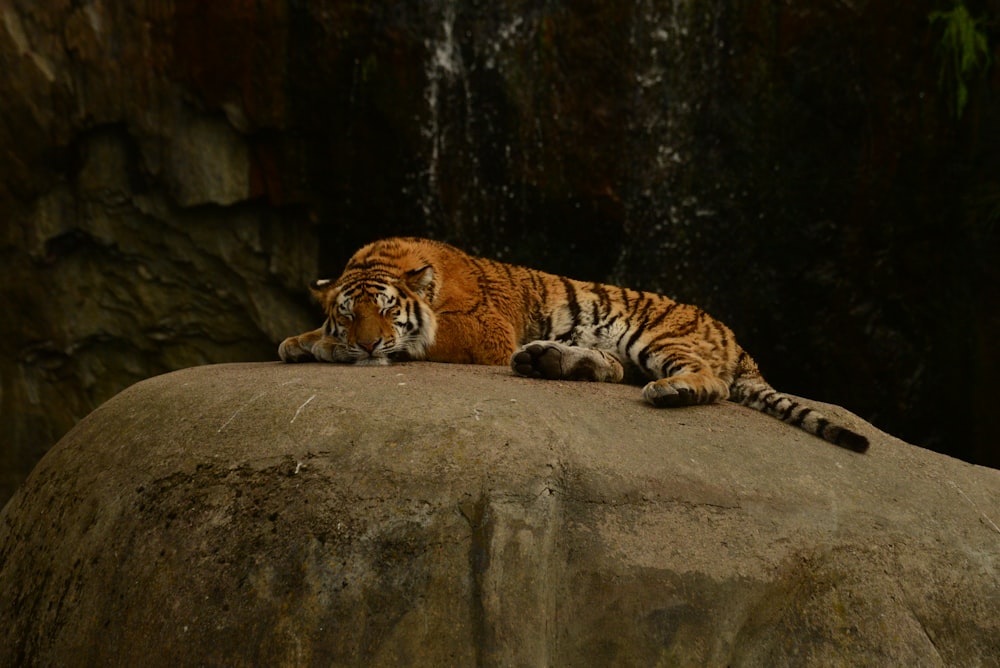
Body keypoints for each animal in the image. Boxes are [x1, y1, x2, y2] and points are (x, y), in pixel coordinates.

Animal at [280, 237, 868, 452]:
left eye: (386, 312)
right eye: (349, 314)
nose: (365, 346)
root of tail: (737, 340)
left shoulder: (482, 330)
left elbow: (422, 338)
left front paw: (329, 348)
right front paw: (302, 340)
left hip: (657, 336)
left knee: (710, 382)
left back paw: (670, 391)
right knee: (612, 368)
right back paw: (550, 359)